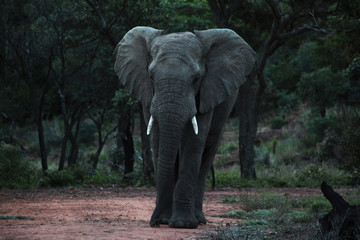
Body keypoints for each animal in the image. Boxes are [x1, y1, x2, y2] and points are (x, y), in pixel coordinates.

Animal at [114, 26, 255, 229]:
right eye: (151, 77)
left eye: (196, 78)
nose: (154, 222)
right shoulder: (148, 95)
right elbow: (157, 140)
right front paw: (167, 220)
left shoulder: (207, 92)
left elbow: (193, 143)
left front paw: (182, 224)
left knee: (207, 154)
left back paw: (198, 219)